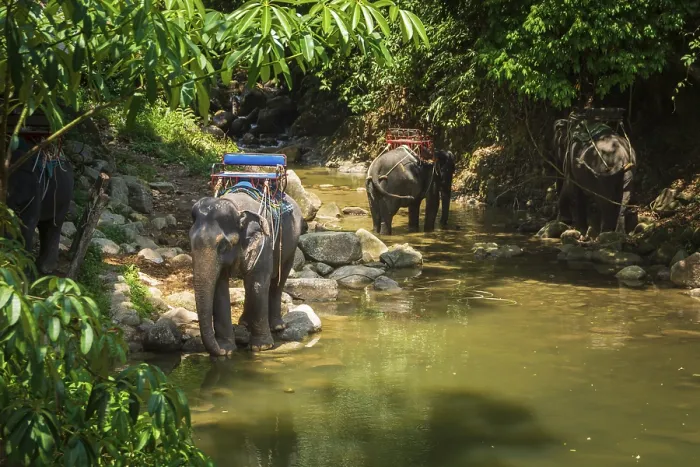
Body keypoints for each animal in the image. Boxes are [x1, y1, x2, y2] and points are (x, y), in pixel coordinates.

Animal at [6, 135, 75, 275]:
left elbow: (29, 224)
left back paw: (47, 267)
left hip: (65, 199)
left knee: (55, 225)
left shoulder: (37, 194)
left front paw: (25, 269)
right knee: (43, 227)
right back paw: (40, 261)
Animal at [189, 183, 304, 357]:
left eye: (223, 245)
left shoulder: (263, 240)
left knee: (278, 279)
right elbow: (220, 287)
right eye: (190, 242)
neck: (236, 208)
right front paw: (227, 349)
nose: (219, 350)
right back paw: (244, 323)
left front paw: (261, 347)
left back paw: (277, 326)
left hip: (292, 244)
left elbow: (257, 283)